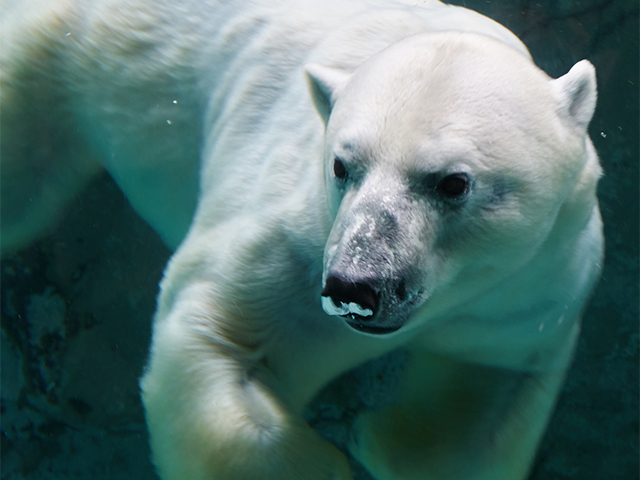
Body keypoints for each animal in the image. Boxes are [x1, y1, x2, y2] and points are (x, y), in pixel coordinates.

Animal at [0, 0, 604, 478]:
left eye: (453, 182)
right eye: (341, 165)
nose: (356, 287)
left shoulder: (523, 295)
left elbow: (487, 394)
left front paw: (376, 438)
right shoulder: (291, 249)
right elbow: (220, 334)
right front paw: (324, 462)